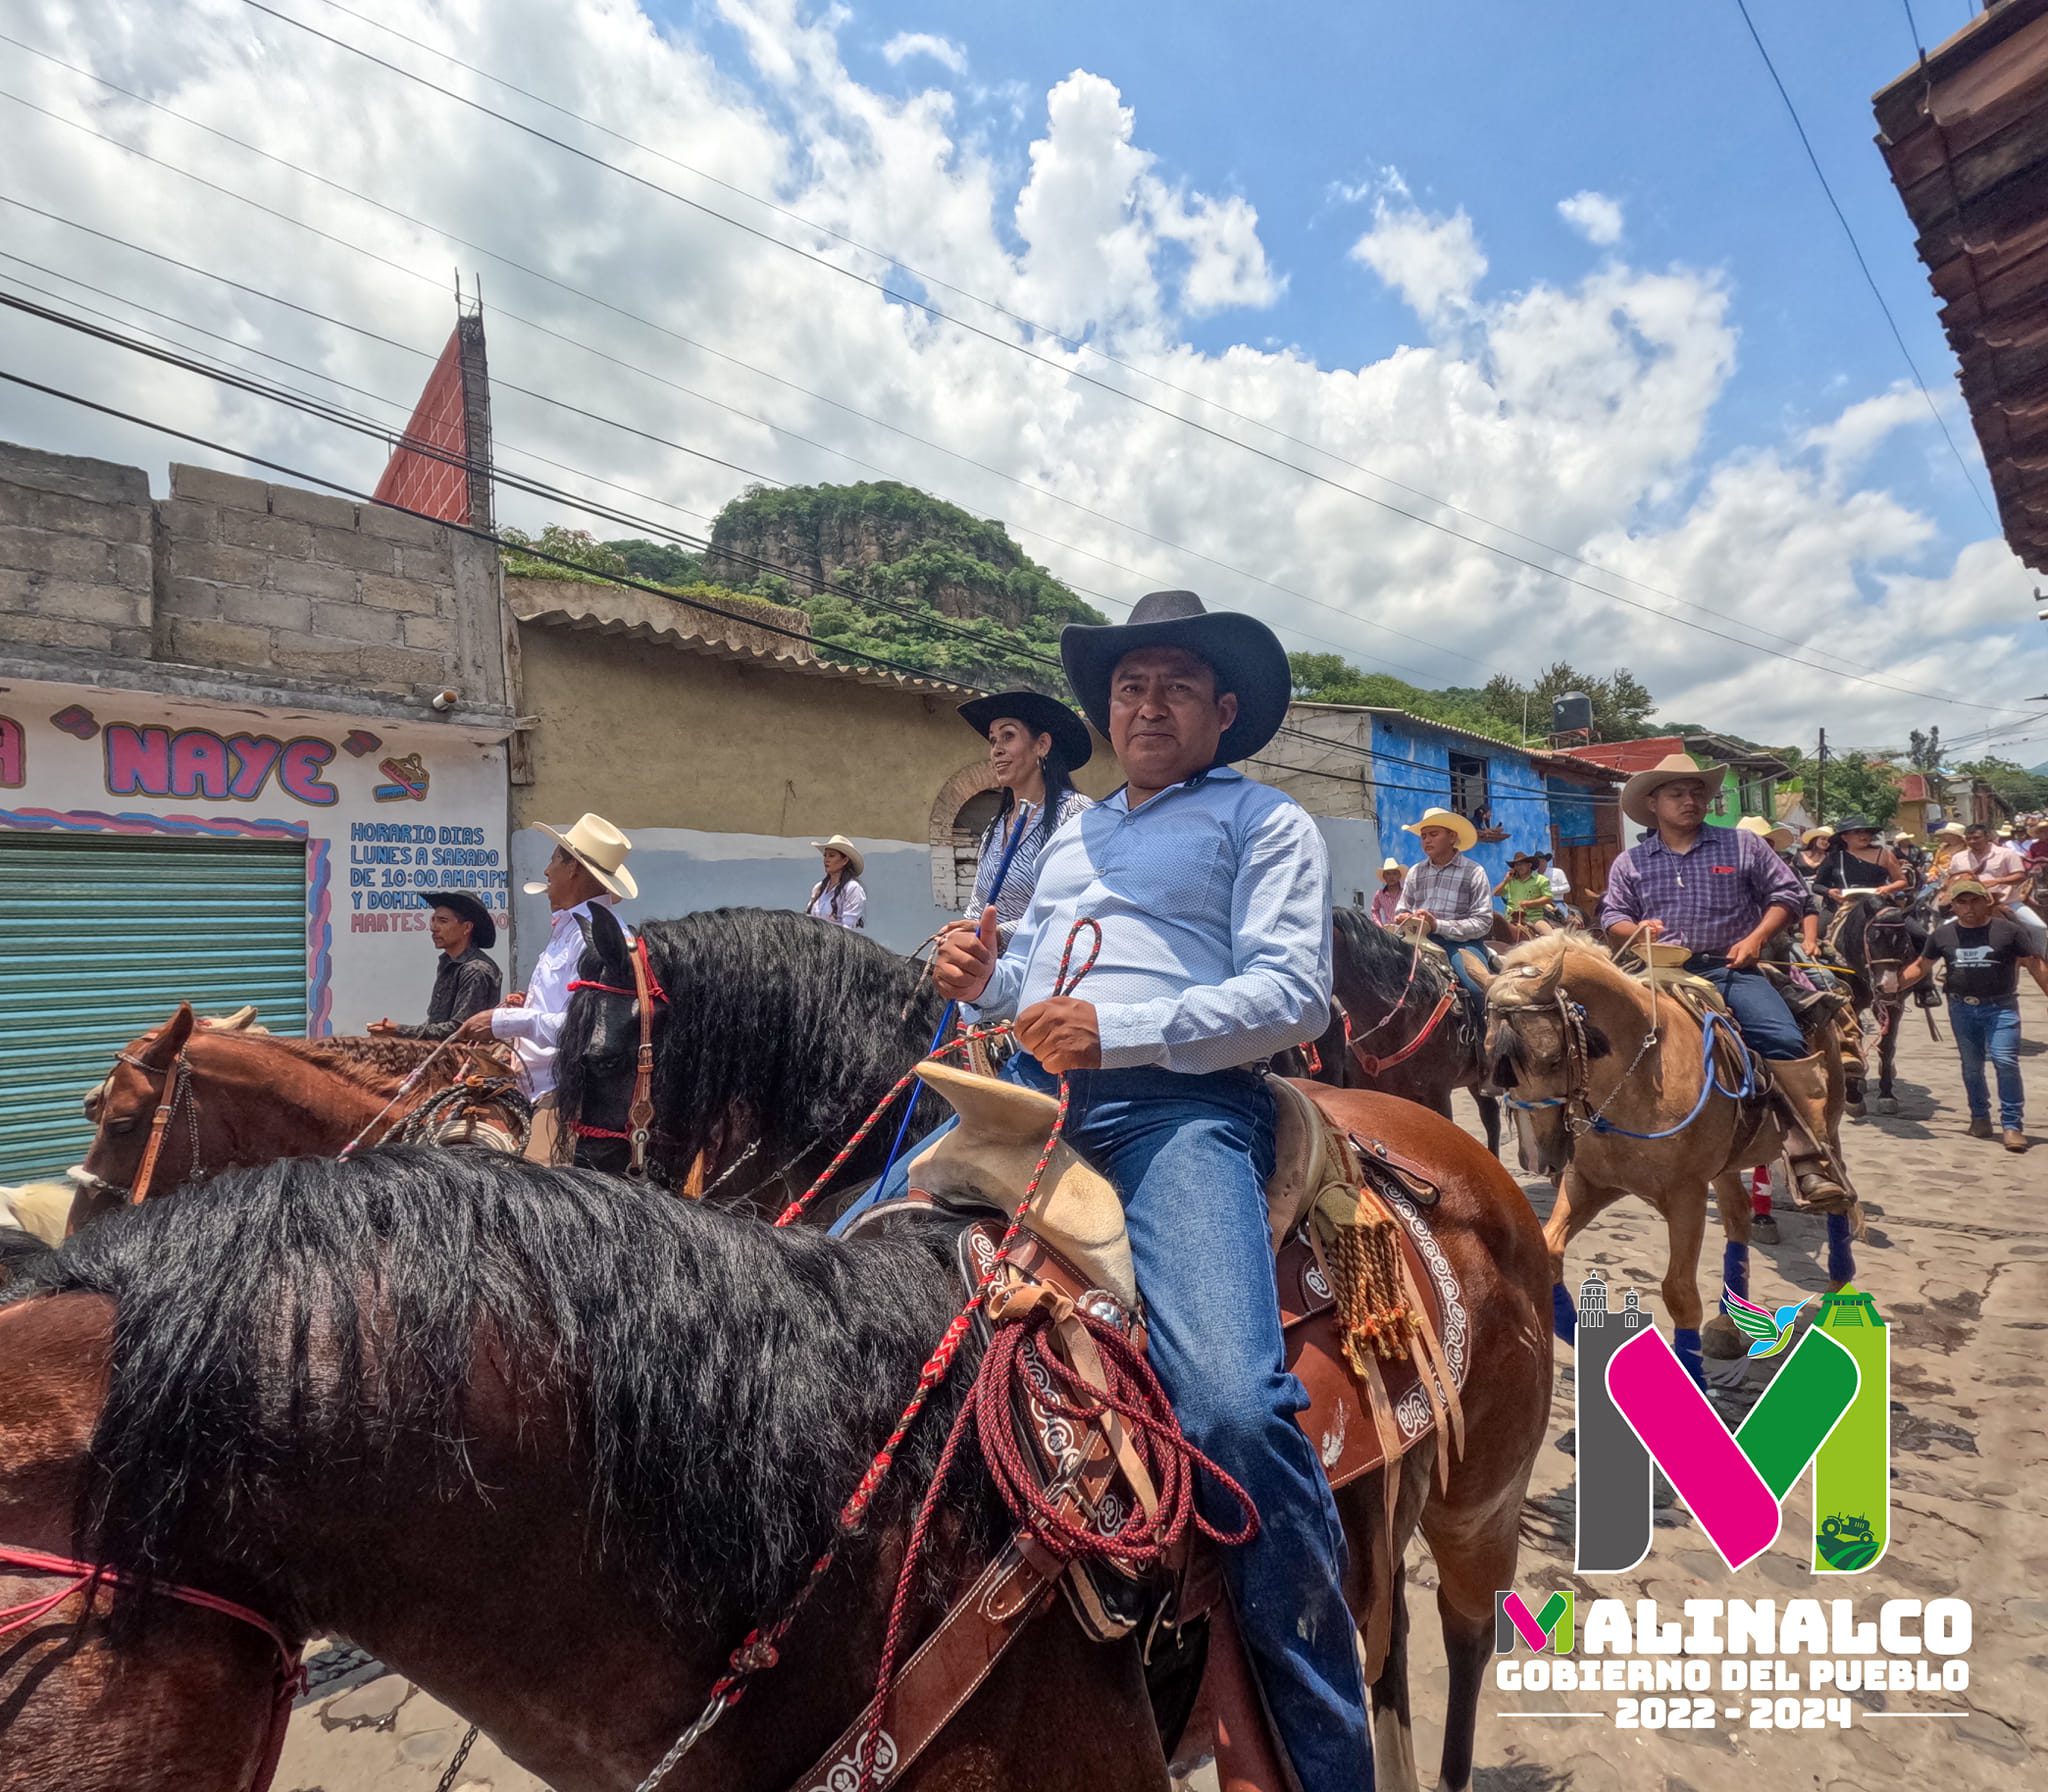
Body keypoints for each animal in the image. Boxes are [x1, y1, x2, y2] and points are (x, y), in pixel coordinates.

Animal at [1474, 937, 1859, 1384]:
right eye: (1490, 1060)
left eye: (1552, 1059)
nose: (1538, 1158)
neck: (1638, 1077)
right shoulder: (1589, 1183)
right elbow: (1549, 1252)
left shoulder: (1685, 1196)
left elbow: (1679, 1293)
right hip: (1725, 1167)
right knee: (1737, 1218)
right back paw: (1729, 1327)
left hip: (1827, 1121)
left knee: (1838, 1195)